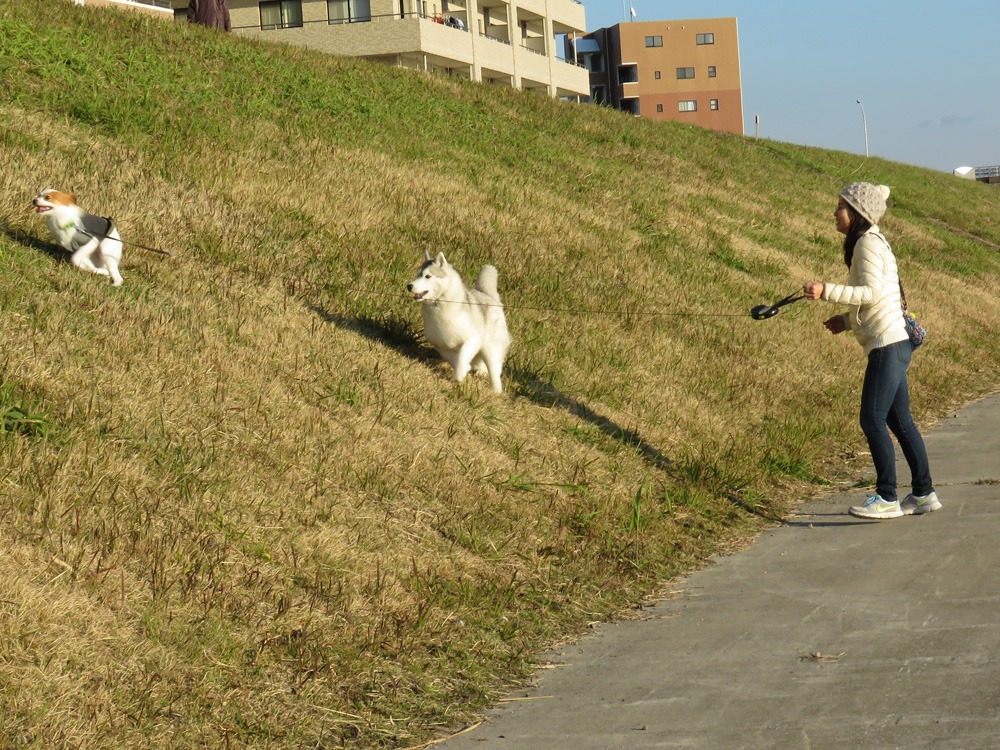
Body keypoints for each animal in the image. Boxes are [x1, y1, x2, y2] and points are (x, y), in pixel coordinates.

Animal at [406, 253, 512, 394]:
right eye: (418, 275)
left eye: (428, 276)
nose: (409, 286)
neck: (439, 305)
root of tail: (487, 294)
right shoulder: (441, 346)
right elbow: (454, 358)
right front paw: (465, 369)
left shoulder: (472, 340)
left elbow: (462, 355)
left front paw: (459, 375)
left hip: (489, 346)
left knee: (495, 368)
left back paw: (496, 390)